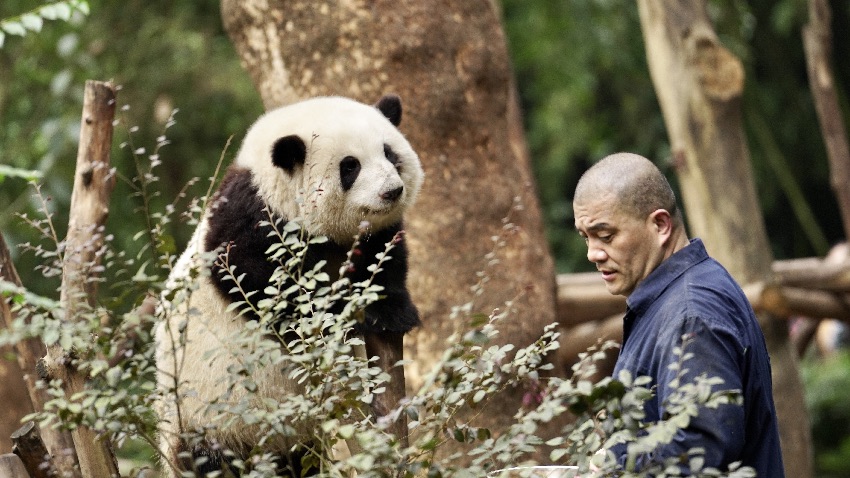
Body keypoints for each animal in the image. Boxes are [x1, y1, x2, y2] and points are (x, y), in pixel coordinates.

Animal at [153, 95, 424, 476]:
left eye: (390, 153)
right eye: (350, 166)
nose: (392, 191)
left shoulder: (373, 237)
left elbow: (384, 261)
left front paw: (389, 313)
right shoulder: (251, 221)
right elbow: (266, 287)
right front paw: (335, 316)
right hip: (205, 415)